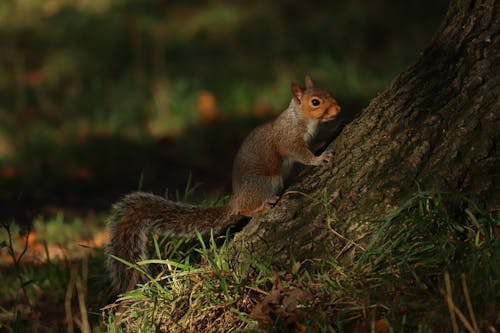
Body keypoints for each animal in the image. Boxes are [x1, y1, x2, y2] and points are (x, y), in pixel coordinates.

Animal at [105, 75, 340, 290]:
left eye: (328, 91)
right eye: (315, 102)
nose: (338, 109)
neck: (301, 119)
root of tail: (235, 201)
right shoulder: (289, 141)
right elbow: (302, 154)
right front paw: (320, 159)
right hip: (265, 183)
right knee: (246, 211)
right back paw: (262, 206)